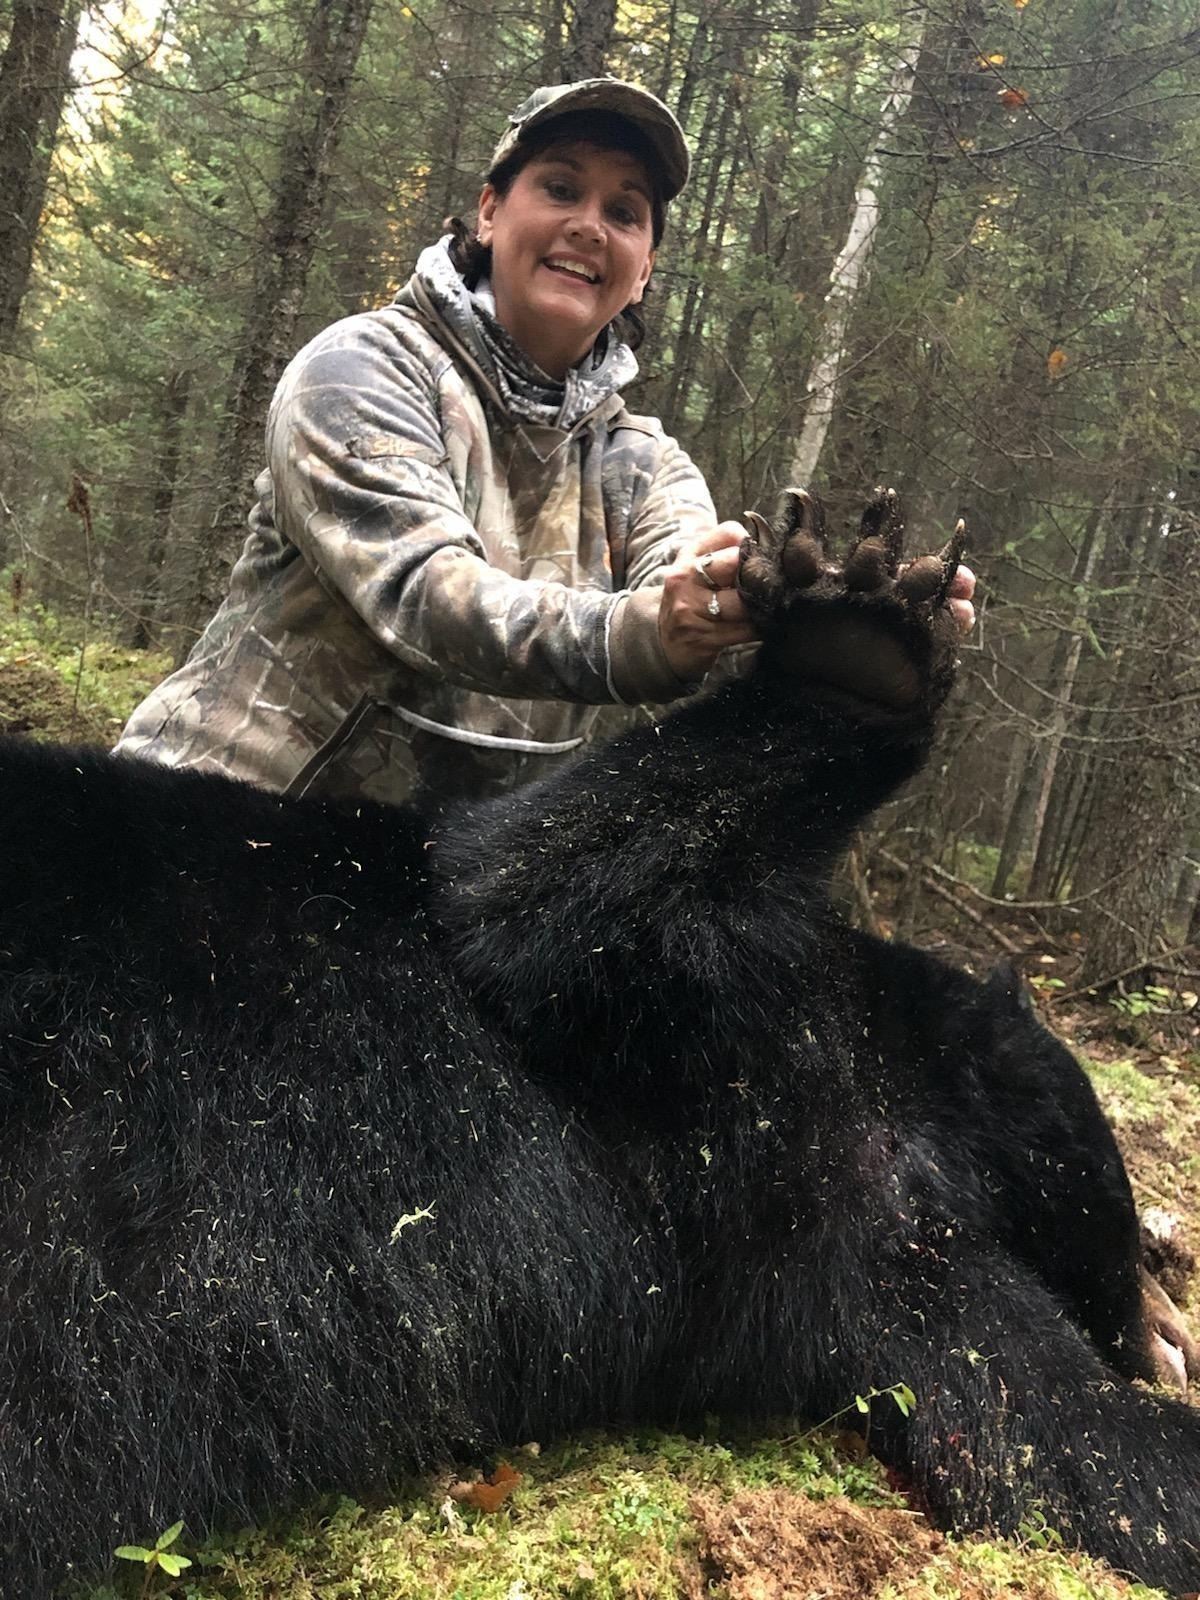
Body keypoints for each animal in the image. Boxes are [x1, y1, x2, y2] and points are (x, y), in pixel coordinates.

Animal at [0, 487, 1195, 1597]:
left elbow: (1065, 1438)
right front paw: (864, 636)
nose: (1170, 1328)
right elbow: (526, 890)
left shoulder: (866, 1261)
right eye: (1129, 1213)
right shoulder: (717, 1029)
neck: (890, 1088)